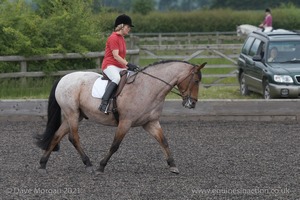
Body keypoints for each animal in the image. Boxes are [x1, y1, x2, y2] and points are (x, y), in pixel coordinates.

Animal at [35, 60, 206, 174]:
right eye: (196, 80)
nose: (192, 104)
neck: (148, 87)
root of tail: (63, 78)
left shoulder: (150, 122)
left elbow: (163, 141)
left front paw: (172, 165)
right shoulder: (125, 122)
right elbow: (115, 145)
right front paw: (101, 166)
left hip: (77, 115)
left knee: (57, 135)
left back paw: (43, 164)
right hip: (72, 113)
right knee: (74, 138)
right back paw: (89, 164)